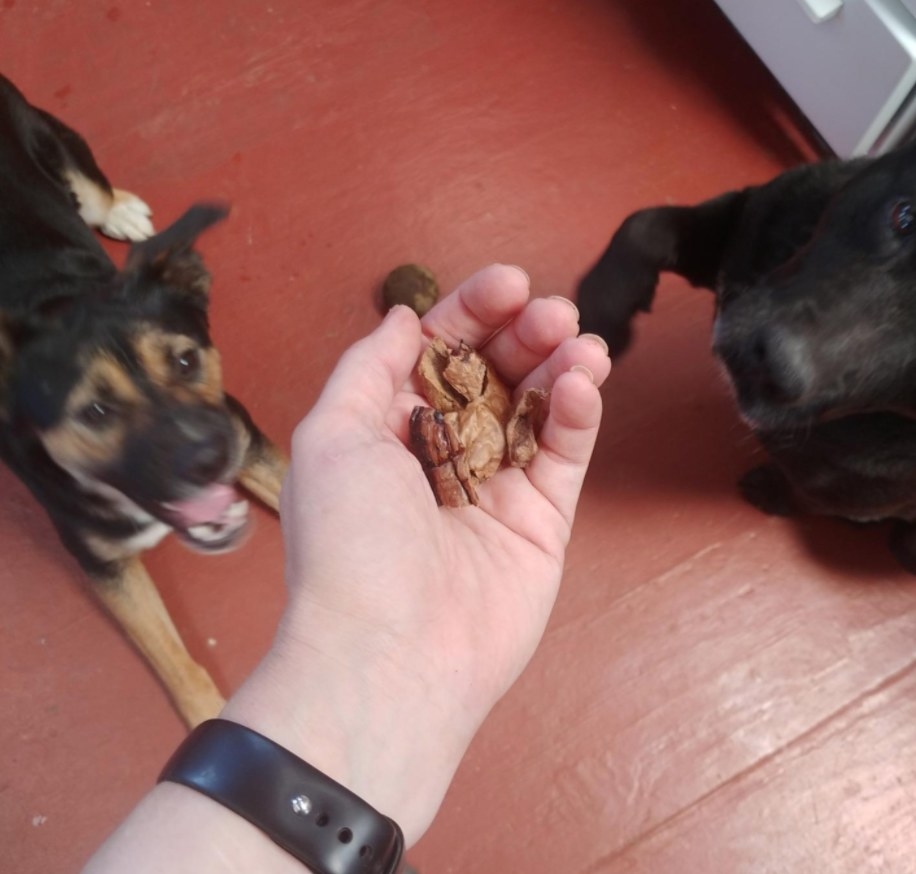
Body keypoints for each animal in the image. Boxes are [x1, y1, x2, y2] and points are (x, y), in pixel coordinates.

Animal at [0, 73, 286, 724]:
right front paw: (206, 719)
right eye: (94, 411)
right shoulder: (104, 563)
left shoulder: (244, 433)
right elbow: (175, 660)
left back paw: (122, 210)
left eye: (185, 360)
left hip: (49, 136)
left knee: (92, 187)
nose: (211, 459)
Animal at [576, 143, 916, 572]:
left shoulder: (846, 493)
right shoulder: (743, 221)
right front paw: (601, 314)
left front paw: (772, 491)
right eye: (905, 215)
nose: (770, 362)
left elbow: (807, 496)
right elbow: (643, 224)